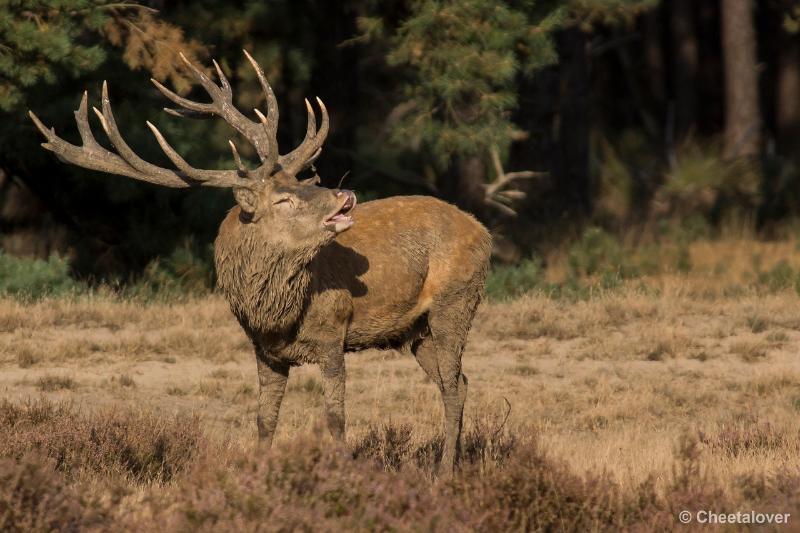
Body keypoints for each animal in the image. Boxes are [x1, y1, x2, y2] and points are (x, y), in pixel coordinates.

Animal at [28, 51, 490, 474]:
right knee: (461, 383)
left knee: (453, 385)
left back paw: (445, 472)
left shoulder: (333, 334)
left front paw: (342, 472)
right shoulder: (264, 349)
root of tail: (483, 232)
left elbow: (335, 419)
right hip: (416, 331)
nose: (346, 195)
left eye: (304, 181)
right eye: (284, 198)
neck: (278, 312)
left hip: (456, 301)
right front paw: (261, 474)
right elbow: (265, 419)